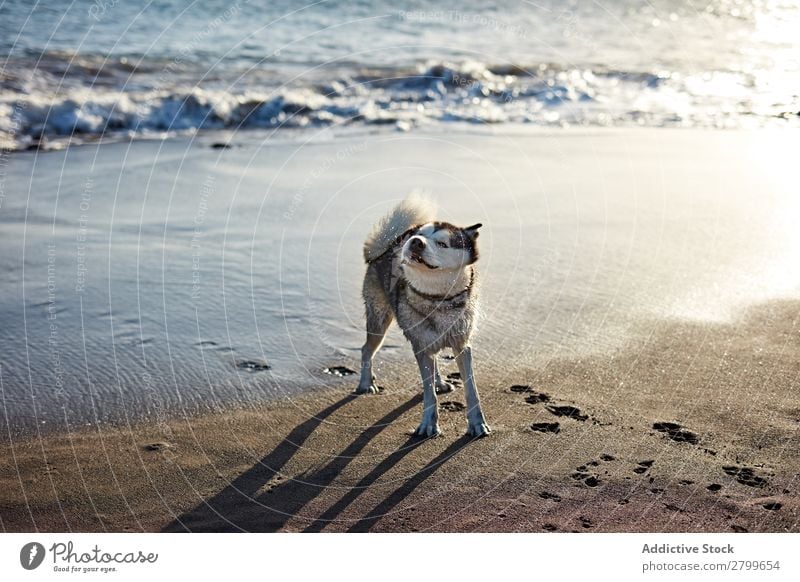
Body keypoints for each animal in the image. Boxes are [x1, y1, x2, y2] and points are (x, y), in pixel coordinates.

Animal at [356, 195, 488, 438]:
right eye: (416, 236)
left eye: (443, 243)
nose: (416, 241)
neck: (438, 298)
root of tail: (382, 250)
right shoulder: (420, 345)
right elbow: (428, 394)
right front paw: (428, 424)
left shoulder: (462, 345)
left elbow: (471, 389)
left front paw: (477, 424)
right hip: (380, 321)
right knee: (367, 349)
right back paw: (365, 383)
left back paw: (439, 382)